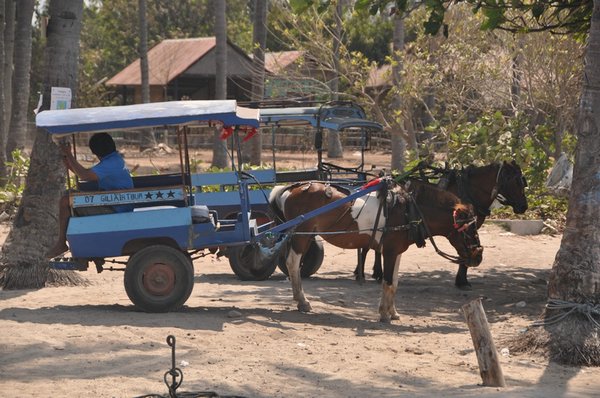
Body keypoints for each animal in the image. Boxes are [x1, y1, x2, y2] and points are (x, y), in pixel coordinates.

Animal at [270, 179, 486, 322]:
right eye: (471, 229)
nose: (478, 257)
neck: (408, 211)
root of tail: (291, 188)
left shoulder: (397, 251)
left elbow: (395, 283)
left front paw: (393, 312)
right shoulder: (389, 251)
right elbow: (388, 281)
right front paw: (384, 313)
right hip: (301, 235)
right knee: (293, 264)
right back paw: (302, 301)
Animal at [356, 159, 524, 290]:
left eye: (524, 182)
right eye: (516, 182)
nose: (524, 206)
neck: (468, 189)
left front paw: (462, 278)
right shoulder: (460, 228)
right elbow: (463, 250)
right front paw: (462, 280)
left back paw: (376, 272)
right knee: (366, 245)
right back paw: (361, 272)